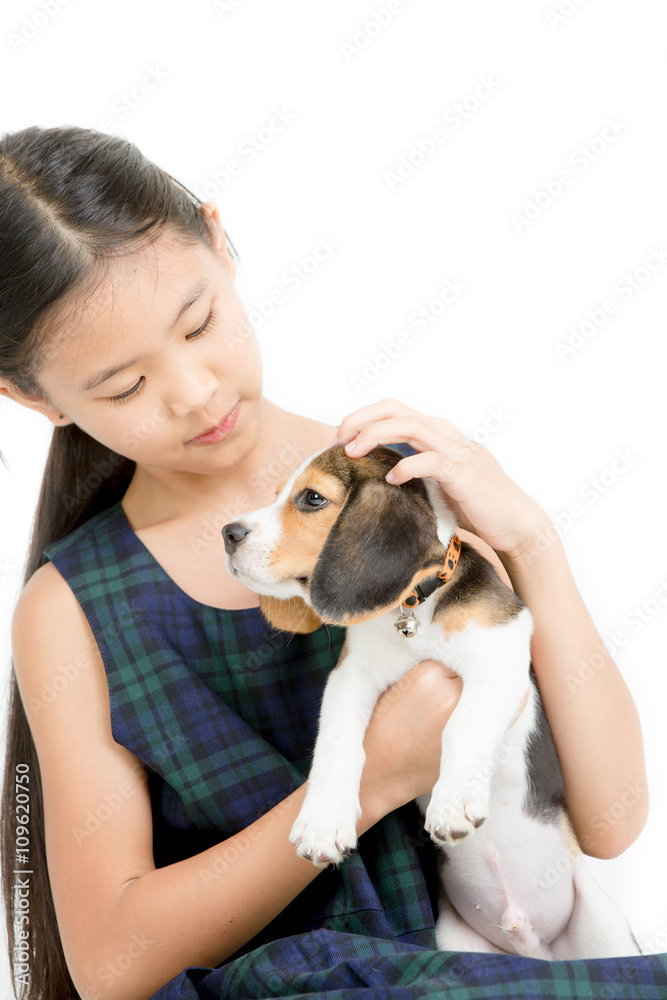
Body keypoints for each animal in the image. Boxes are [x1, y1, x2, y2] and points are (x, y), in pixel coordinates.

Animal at [223, 446, 640, 960]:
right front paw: (322, 819)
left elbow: (463, 726)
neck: (412, 611)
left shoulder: (500, 651)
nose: (227, 533)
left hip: (605, 929)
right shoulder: (351, 677)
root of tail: (533, 948)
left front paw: (453, 801)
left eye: (312, 498)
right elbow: (338, 744)